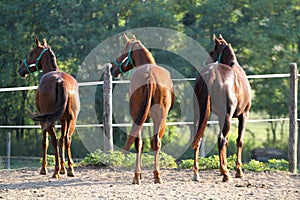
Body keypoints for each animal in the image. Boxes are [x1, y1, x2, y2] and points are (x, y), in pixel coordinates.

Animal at [17, 38, 79, 178]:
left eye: (31, 53)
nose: (20, 69)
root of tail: (61, 81)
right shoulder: (63, 119)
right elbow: (62, 140)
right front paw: (64, 168)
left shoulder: (43, 120)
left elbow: (45, 142)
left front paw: (44, 168)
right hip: (72, 120)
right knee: (66, 139)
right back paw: (70, 169)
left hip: (49, 120)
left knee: (54, 140)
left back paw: (55, 171)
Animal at [110, 34, 175, 184]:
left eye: (122, 50)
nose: (112, 69)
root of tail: (149, 76)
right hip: (159, 118)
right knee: (154, 142)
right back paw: (155, 175)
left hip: (140, 116)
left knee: (141, 142)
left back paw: (137, 175)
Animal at [192, 34, 251, 181]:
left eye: (212, 51)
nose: (206, 61)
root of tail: (210, 73)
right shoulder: (244, 115)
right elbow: (239, 140)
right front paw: (238, 171)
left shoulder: (219, 117)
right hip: (228, 116)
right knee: (221, 139)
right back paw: (226, 174)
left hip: (199, 114)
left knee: (198, 138)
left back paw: (196, 173)